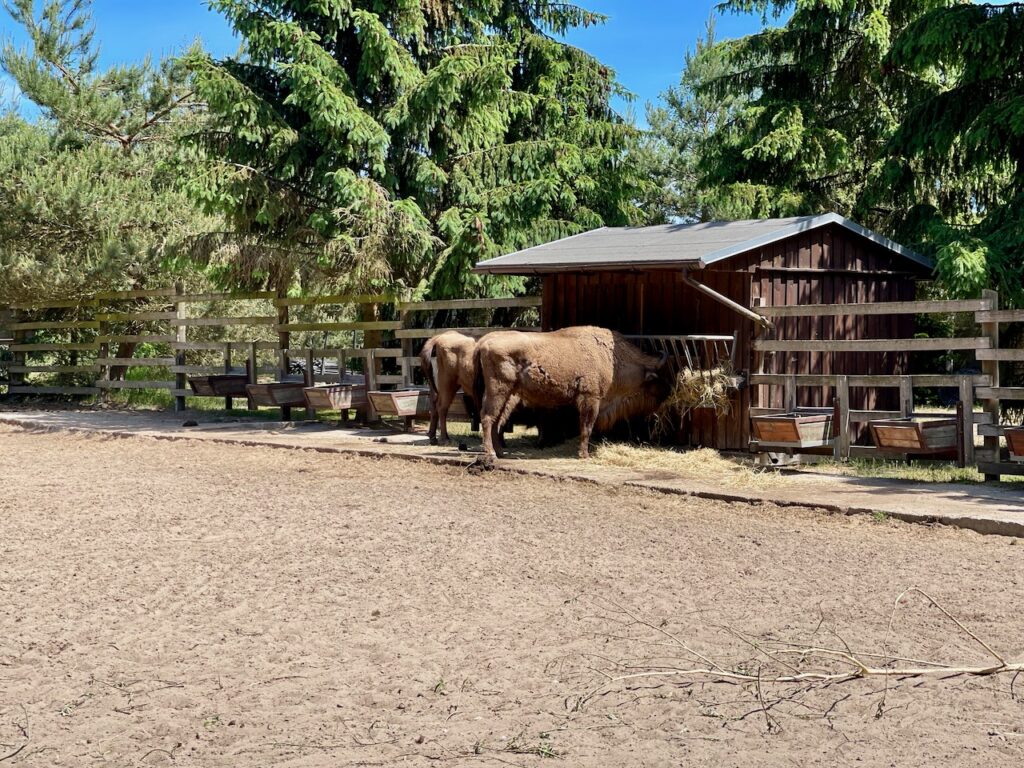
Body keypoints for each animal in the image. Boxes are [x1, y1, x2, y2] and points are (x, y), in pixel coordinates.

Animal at [471, 325, 671, 462]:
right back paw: (491, 453)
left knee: (497, 420)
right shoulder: (591, 398)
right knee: (487, 417)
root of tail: (483, 343)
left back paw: (500, 452)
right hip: (498, 390)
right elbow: (586, 427)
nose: (667, 393)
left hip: (508, 394)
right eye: (658, 378)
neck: (611, 357)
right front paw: (584, 454)